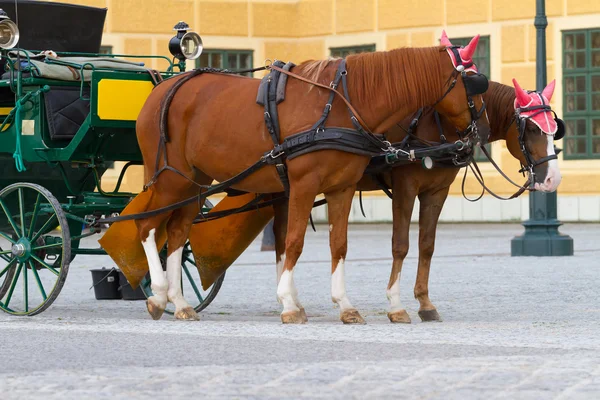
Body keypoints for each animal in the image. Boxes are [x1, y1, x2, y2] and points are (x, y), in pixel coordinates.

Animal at [135, 34, 488, 324]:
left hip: (195, 183)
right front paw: (289, 304)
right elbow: (294, 241)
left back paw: (180, 302)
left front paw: (344, 304)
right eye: (475, 81)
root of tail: (164, 89)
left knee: (178, 232)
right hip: (171, 180)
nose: (480, 130)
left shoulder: (342, 188)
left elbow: (339, 244)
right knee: (148, 225)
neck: (342, 106)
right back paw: (159, 294)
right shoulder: (305, 186)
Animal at [272, 79, 564, 324]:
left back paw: (291, 300)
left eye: (554, 131)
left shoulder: (437, 192)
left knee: (281, 239)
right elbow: (400, 245)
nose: (553, 179)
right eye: (532, 129)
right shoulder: (405, 188)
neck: (437, 123)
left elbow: (427, 245)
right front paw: (395, 305)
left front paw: (425, 303)